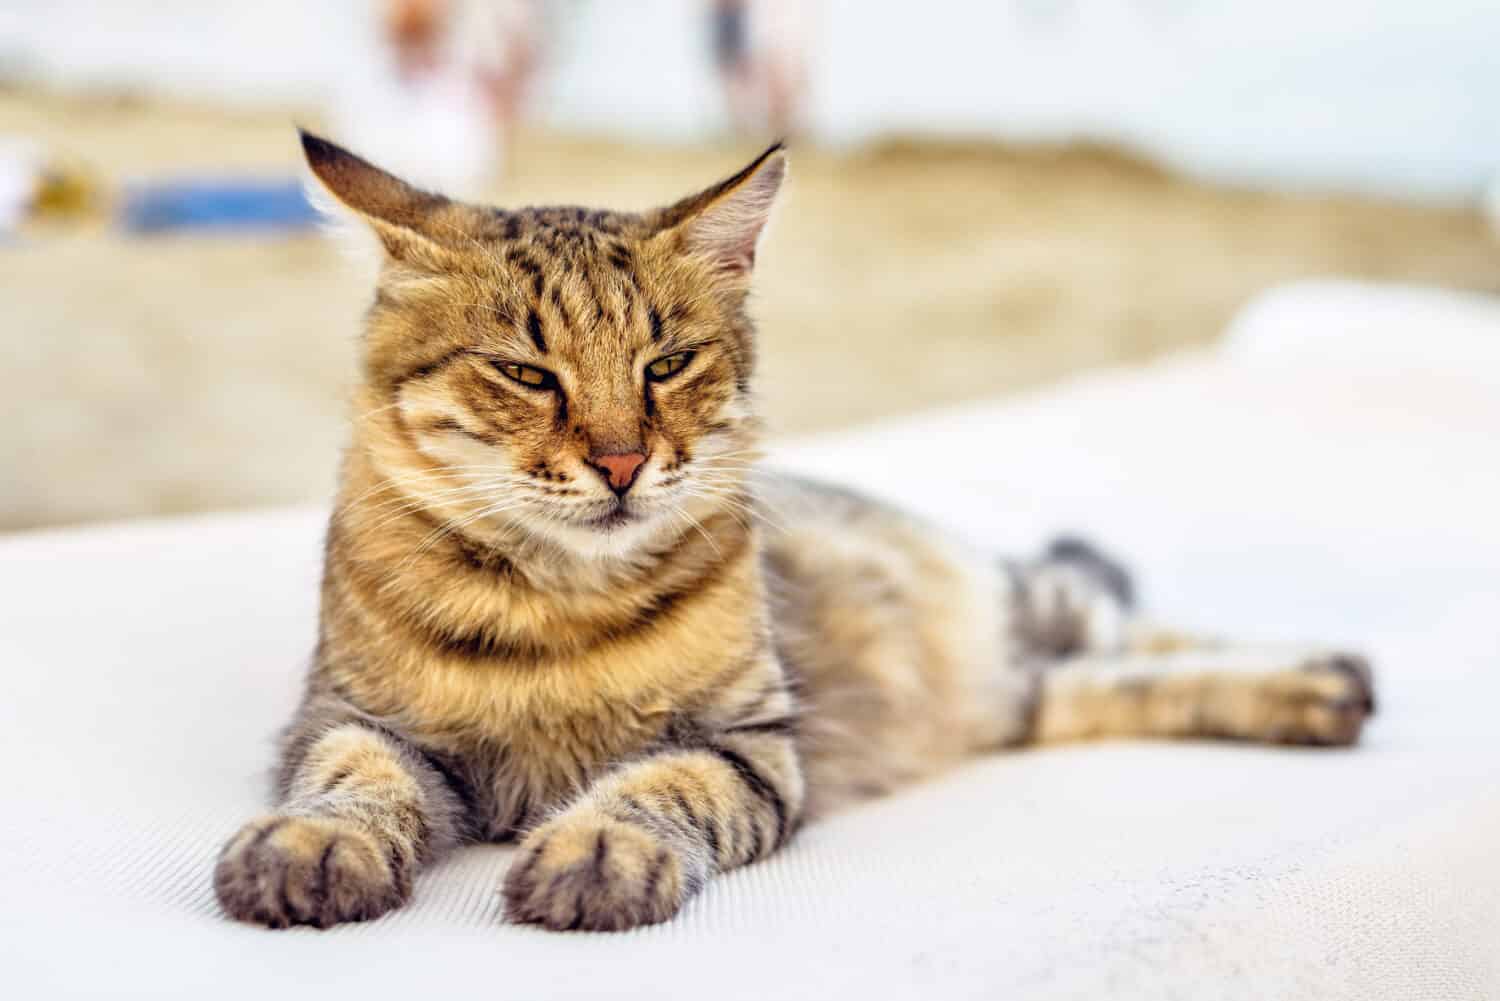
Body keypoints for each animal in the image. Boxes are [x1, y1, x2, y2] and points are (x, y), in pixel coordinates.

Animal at [208, 131, 1374, 930]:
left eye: (666, 364)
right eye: (528, 373)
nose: (623, 461)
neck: (558, 611)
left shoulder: (751, 742)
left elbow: (655, 786)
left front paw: (597, 848)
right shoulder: (345, 717)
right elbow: (355, 782)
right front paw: (310, 844)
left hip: (1008, 605)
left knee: (1113, 614)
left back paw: (1328, 675)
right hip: (1017, 692)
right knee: (1092, 677)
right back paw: (1316, 693)